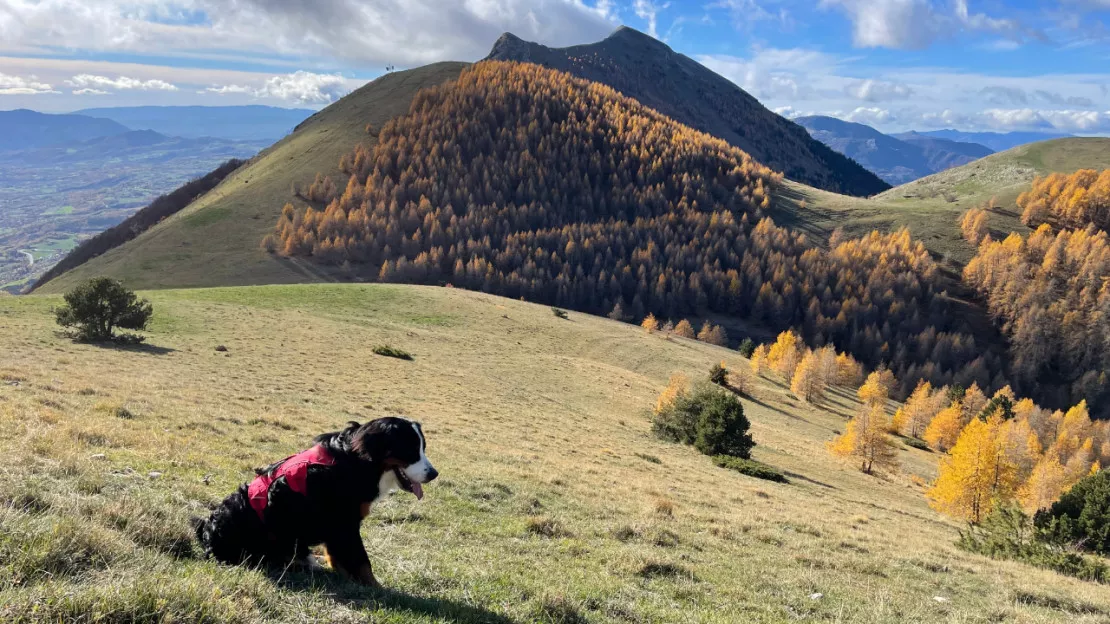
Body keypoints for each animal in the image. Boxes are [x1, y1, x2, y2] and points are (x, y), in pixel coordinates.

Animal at [193, 415, 435, 586]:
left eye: (423, 448)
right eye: (410, 450)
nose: (434, 474)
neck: (355, 461)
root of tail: (207, 536)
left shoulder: (339, 530)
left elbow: (342, 559)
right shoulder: (344, 525)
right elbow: (362, 562)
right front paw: (377, 589)